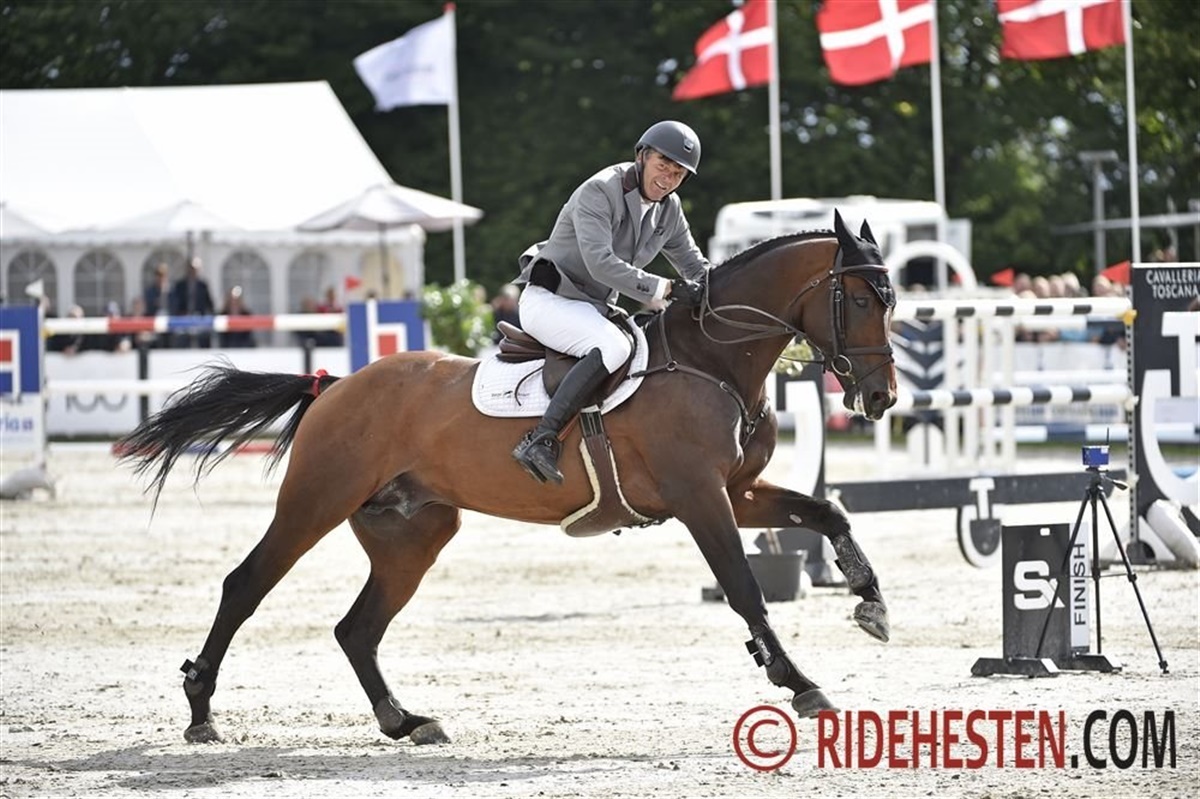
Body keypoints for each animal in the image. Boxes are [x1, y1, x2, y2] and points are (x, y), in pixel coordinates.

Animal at [118, 209, 898, 745]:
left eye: (890, 302)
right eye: (860, 301)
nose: (881, 397)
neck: (711, 358)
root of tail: (336, 384)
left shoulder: (738, 493)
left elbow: (828, 513)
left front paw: (870, 602)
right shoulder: (701, 497)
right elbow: (744, 589)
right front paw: (799, 683)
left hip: (412, 533)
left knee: (357, 628)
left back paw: (404, 721)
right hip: (314, 504)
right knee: (245, 586)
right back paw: (201, 710)